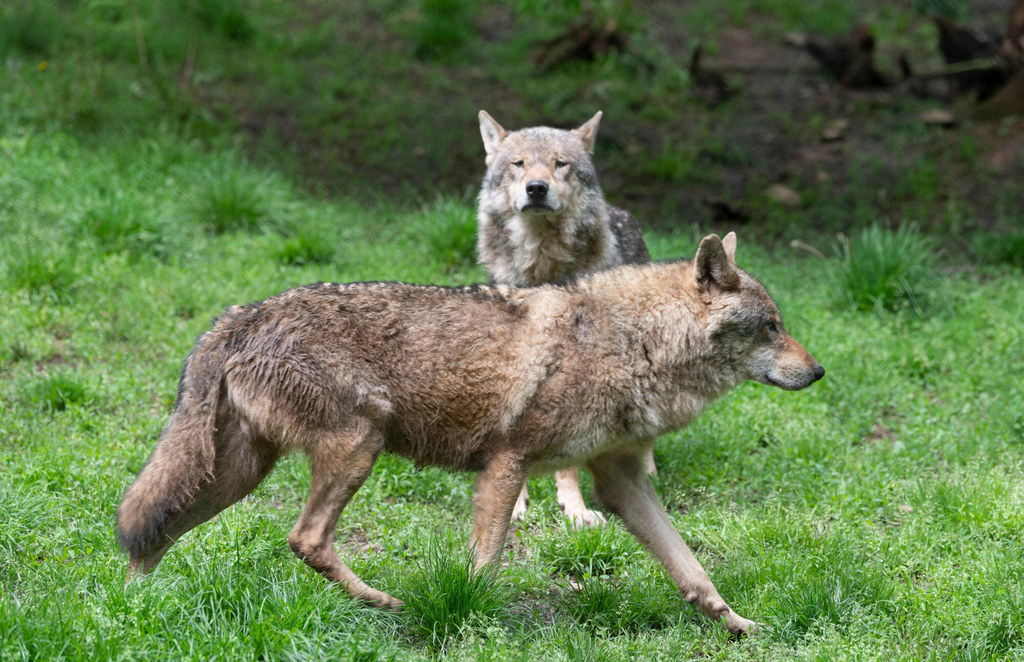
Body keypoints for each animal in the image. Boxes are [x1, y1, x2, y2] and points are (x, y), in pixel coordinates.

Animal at [117, 233, 823, 639]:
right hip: (357, 447)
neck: (633, 344)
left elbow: (693, 570)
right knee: (304, 538)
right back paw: (387, 603)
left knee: (150, 528)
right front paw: (465, 619)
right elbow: (484, 568)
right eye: (770, 327)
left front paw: (740, 625)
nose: (817, 371)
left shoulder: (620, 484)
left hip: (237, 474)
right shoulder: (507, 463)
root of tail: (241, 315)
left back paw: (130, 612)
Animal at [475, 110, 651, 528]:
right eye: (519, 164)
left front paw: (576, 508)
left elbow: (570, 464)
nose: (537, 188)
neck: (541, 266)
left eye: (560, 164)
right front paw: (516, 505)